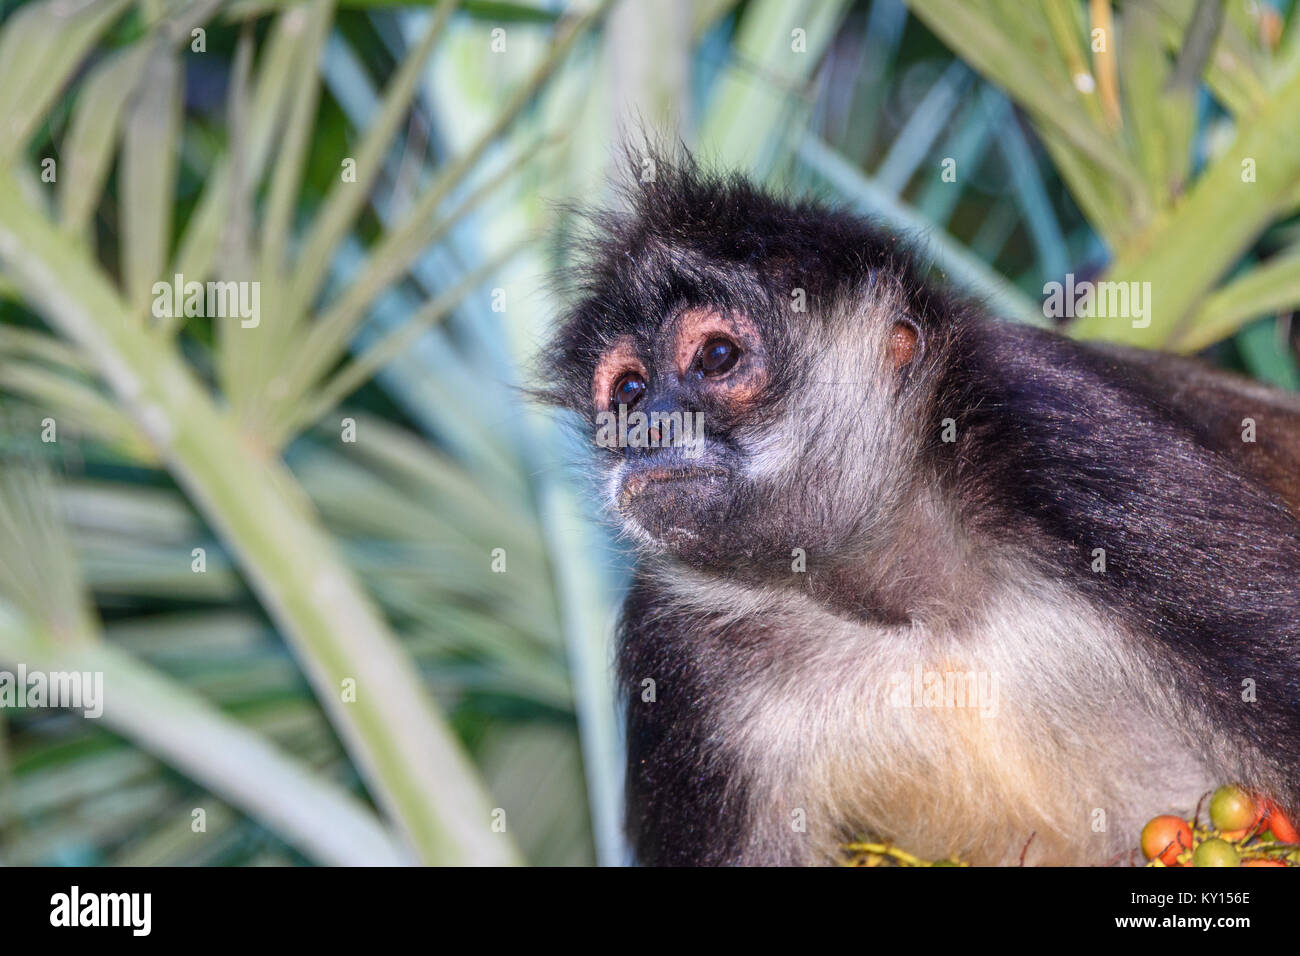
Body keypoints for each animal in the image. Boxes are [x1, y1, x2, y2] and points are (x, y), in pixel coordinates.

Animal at [540, 151, 1300, 868]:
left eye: (717, 356)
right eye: (628, 390)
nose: (646, 429)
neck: (912, 599)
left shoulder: (1058, 431)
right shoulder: (677, 646)